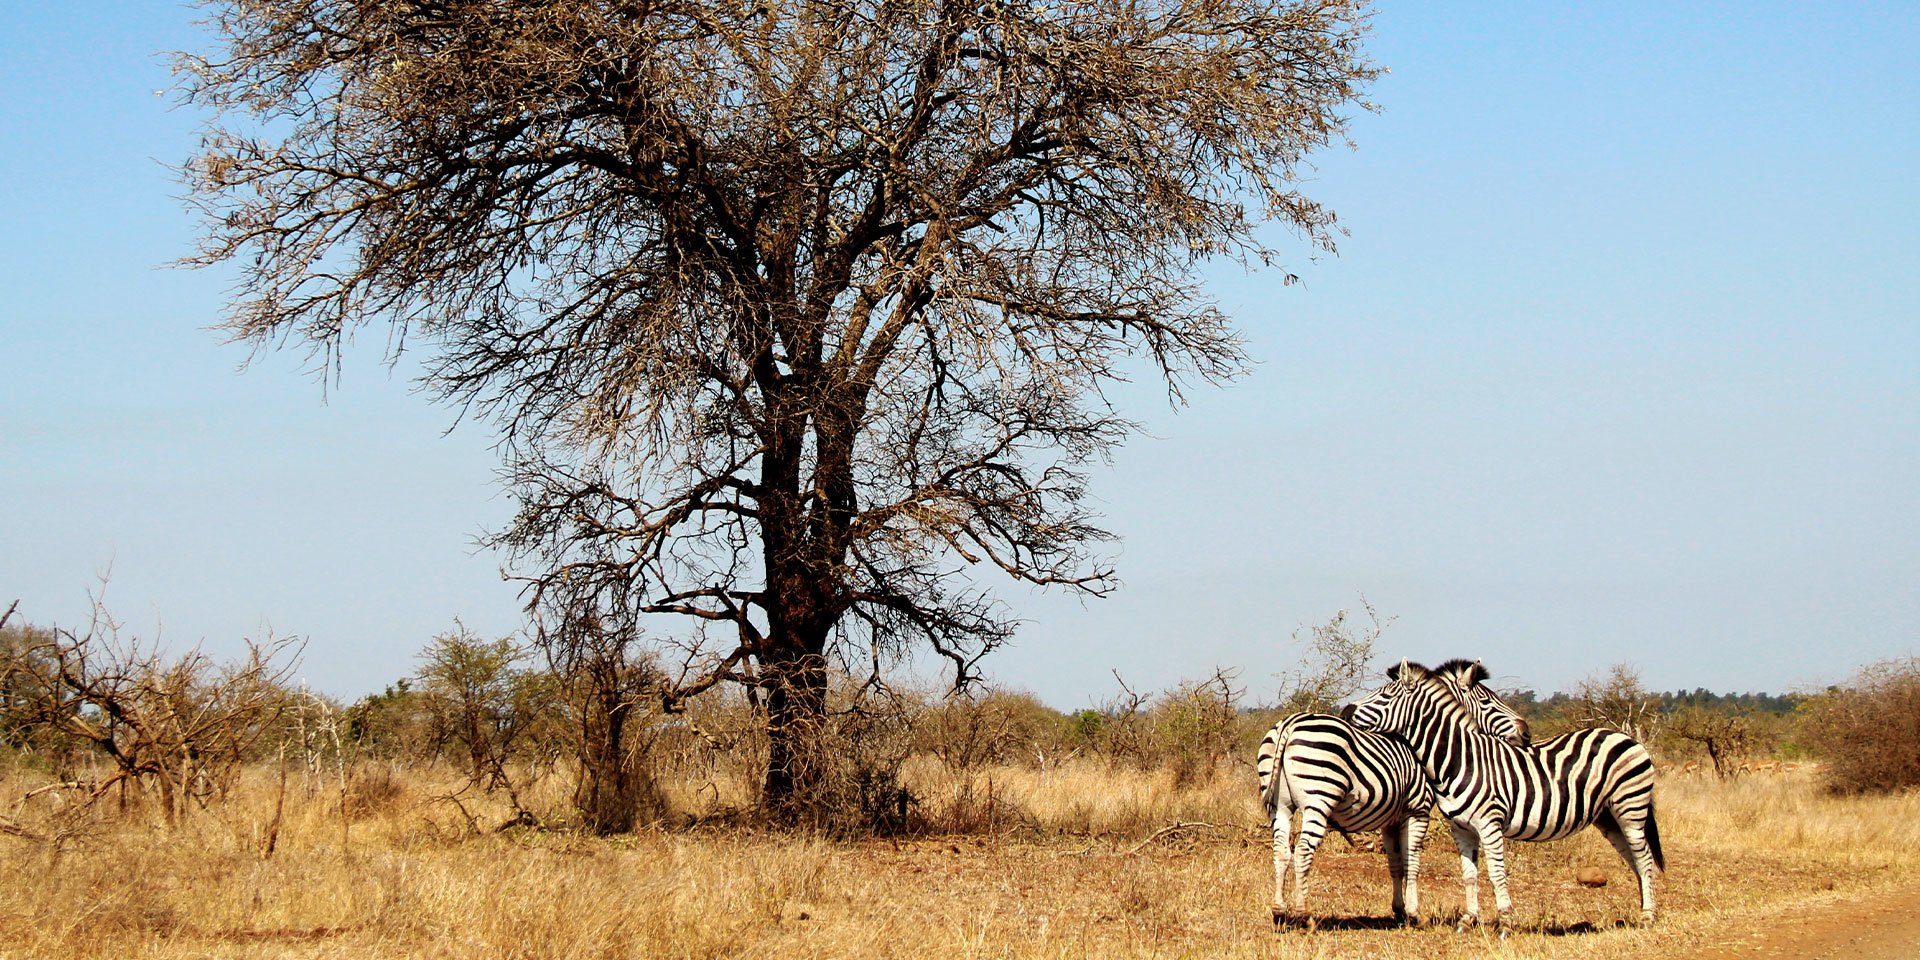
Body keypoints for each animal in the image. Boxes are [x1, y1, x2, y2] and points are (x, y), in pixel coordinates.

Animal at [1259, 656, 1528, 925]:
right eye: (1487, 701)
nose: (1526, 732)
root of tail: (1290, 724)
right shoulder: (1418, 809)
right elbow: (1412, 861)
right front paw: (1413, 913)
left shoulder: (1390, 819)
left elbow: (1396, 864)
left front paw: (1398, 909)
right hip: (1318, 801)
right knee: (1303, 851)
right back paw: (1304, 915)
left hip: (1280, 806)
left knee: (1281, 851)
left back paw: (1279, 910)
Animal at [1336, 660, 1666, 929]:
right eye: (1486, 699)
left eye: (1385, 696)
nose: (1345, 711)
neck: (1460, 759)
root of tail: (1628, 738)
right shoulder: (1461, 827)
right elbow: (1468, 873)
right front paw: (1468, 920)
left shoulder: (1486, 823)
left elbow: (1495, 873)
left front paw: (1505, 921)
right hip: (1609, 817)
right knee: (1636, 860)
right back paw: (1643, 910)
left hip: (1630, 808)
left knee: (1645, 859)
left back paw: (1647, 918)